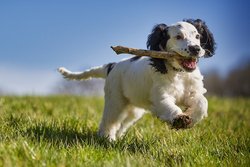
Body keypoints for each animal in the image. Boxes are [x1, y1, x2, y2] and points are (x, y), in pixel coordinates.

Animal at [58, 18, 215, 140]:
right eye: (178, 37)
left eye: (197, 36)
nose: (196, 49)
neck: (179, 73)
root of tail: (112, 65)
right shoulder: (160, 96)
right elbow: (169, 106)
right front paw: (179, 119)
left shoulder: (192, 92)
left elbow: (203, 102)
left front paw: (191, 118)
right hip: (115, 101)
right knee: (109, 121)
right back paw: (107, 139)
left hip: (134, 109)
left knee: (123, 124)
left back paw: (117, 138)